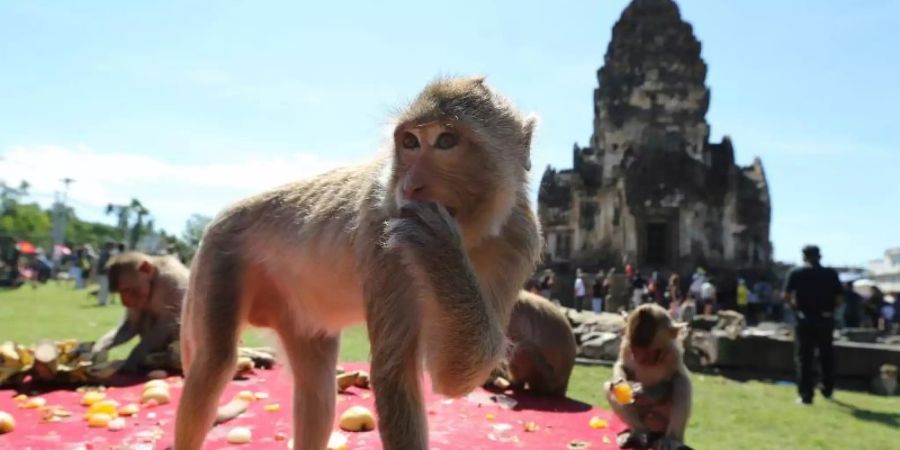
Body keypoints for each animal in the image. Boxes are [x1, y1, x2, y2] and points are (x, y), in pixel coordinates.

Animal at [604, 304, 696, 448]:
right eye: (635, 350)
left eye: (652, 352)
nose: (639, 358)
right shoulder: (626, 345)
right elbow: (621, 366)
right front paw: (622, 381)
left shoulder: (674, 352)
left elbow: (672, 378)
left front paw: (644, 392)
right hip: (645, 418)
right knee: (610, 388)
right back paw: (637, 432)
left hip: (661, 420)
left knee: (681, 384)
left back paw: (672, 439)